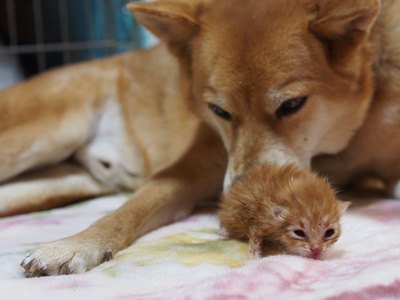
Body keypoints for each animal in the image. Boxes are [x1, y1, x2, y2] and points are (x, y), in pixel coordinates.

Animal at [219, 165, 350, 258]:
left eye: (329, 232)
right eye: (299, 233)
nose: (316, 250)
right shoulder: (262, 220)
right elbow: (255, 238)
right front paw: (255, 255)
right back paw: (225, 232)